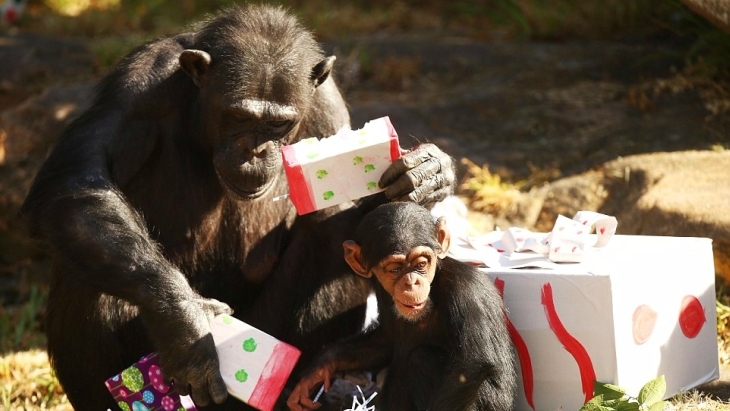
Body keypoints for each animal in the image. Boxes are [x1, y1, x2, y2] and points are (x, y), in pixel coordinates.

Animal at [18, 4, 456, 411]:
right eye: (239, 116)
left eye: (279, 124)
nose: (254, 150)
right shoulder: (138, 85)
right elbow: (77, 181)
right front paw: (186, 324)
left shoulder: (328, 106)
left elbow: (366, 214)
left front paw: (425, 175)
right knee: (94, 256)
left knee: (335, 227)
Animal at [284, 203, 512, 411]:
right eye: (395, 269)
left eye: (421, 264)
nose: (411, 282)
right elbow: (385, 340)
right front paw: (320, 368)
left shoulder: (467, 290)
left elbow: (471, 366)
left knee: (421, 359)